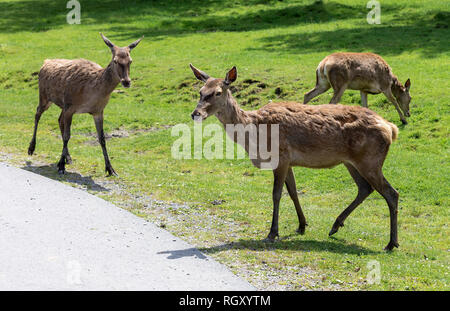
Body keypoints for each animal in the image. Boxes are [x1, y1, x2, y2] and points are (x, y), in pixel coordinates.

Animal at [27, 33, 142, 178]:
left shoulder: (98, 111)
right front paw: (61, 166)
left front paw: (110, 169)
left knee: (59, 120)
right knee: (37, 114)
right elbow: (67, 136)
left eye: (130, 61)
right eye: (115, 60)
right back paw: (31, 148)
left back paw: (68, 157)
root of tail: (45, 62)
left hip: (62, 105)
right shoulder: (70, 107)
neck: (92, 92)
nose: (126, 82)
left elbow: (102, 139)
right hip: (44, 97)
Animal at [188, 64, 400, 251]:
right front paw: (302, 225)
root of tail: (391, 128)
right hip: (351, 162)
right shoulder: (289, 161)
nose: (195, 113)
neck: (254, 135)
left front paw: (273, 232)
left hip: (370, 161)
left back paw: (391, 243)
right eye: (200, 91)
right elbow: (293, 192)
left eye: (217, 92)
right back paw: (335, 225)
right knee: (365, 188)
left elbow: (276, 194)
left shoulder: (280, 156)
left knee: (391, 193)